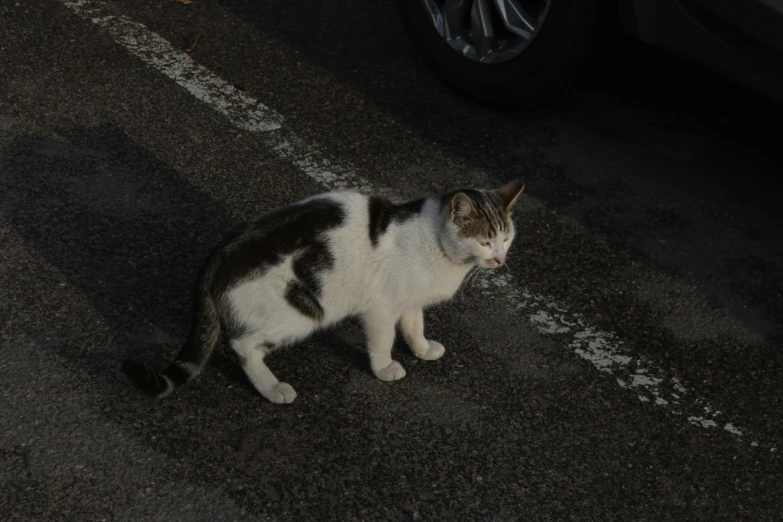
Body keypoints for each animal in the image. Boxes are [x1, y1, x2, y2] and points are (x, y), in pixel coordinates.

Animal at [122, 181, 524, 404]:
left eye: (507, 237)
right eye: (485, 241)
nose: (500, 259)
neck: (438, 246)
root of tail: (222, 250)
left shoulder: (409, 301)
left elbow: (413, 327)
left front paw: (423, 350)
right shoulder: (381, 308)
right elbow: (383, 341)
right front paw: (385, 369)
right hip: (303, 311)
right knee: (242, 346)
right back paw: (273, 389)